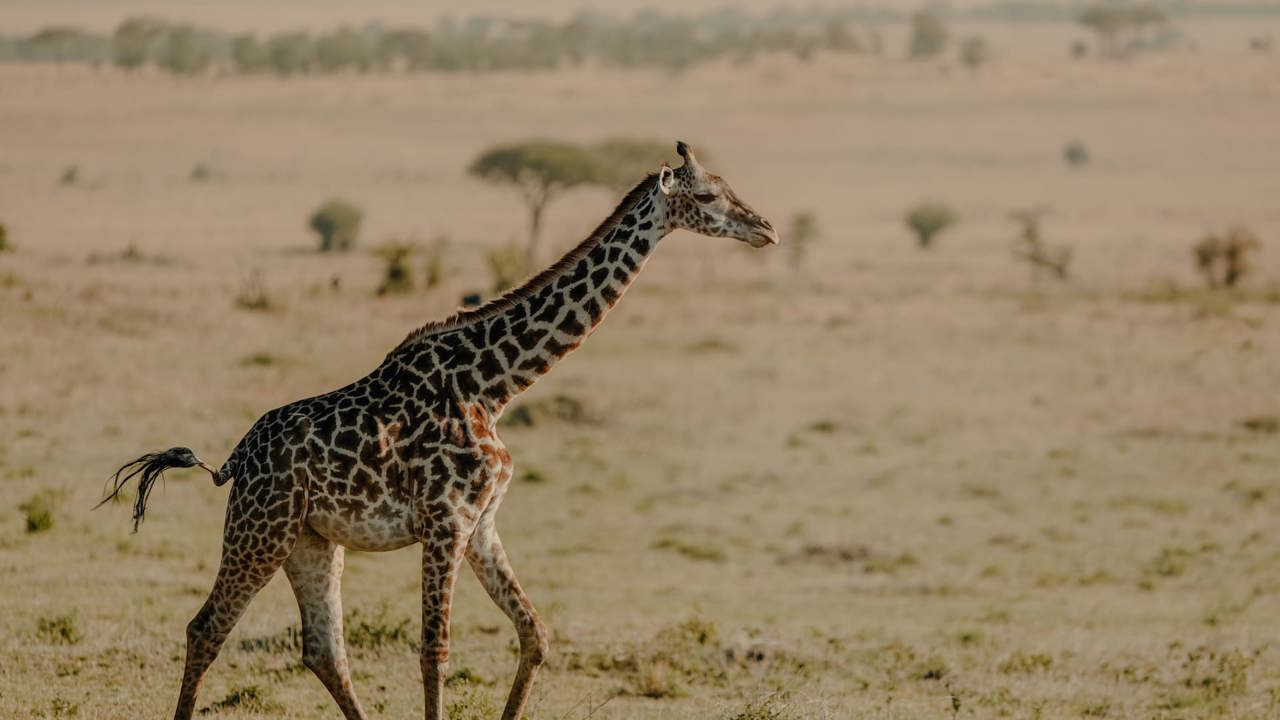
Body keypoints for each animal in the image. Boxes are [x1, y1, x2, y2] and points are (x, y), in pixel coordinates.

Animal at [101, 141, 778, 720]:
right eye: (709, 195)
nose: (765, 228)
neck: (495, 385)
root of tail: (234, 461)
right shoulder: (446, 520)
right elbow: (435, 651)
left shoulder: (481, 523)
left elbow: (534, 633)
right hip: (260, 529)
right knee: (207, 628)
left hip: (311, 541)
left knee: (323, 649)